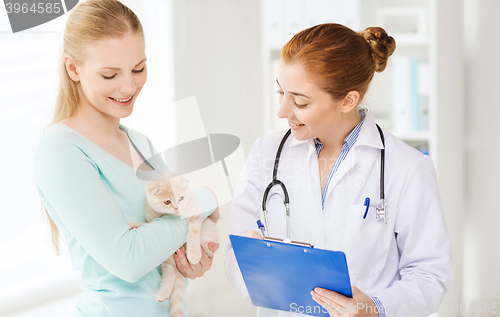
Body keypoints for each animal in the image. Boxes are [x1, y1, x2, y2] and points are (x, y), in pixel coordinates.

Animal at [128, 173, 218, 316]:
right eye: (167, 202)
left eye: (181, 198)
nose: (177, 208)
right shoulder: (152, 220)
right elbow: (146, 224)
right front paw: (135, 225)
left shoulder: (195, 211)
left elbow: (193, 234)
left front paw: (193, 254)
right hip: (167, 257)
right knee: (169, 273)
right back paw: (163, 293)